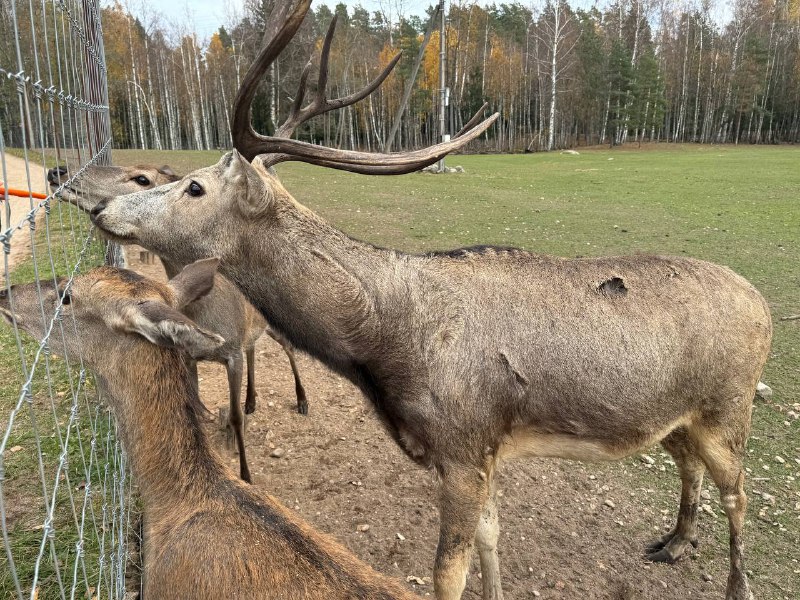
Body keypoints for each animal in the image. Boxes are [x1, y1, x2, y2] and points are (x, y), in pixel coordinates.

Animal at [47, 161, 310, 482]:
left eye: (142, 179)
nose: (57, 171)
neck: (207, 315)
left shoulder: (232, 353)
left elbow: (234, 418)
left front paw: (246, 475)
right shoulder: (189, 356)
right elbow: (196, 406)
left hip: (273, 328)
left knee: (288, 349)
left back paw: (301, 400)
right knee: (253, 349)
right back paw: (251, 401)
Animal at [90, 2, 772, 596]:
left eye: (195, 187)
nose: (103, 209)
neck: (383, 346)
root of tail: (764, 306)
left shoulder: (463, 446)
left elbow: (448, 573)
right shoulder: (484, 452)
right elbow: (493, 541)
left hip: (728, 404)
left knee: (738, 491)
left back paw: (735, 583)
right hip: (677, 416)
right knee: (690, 467)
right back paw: (674, 542)